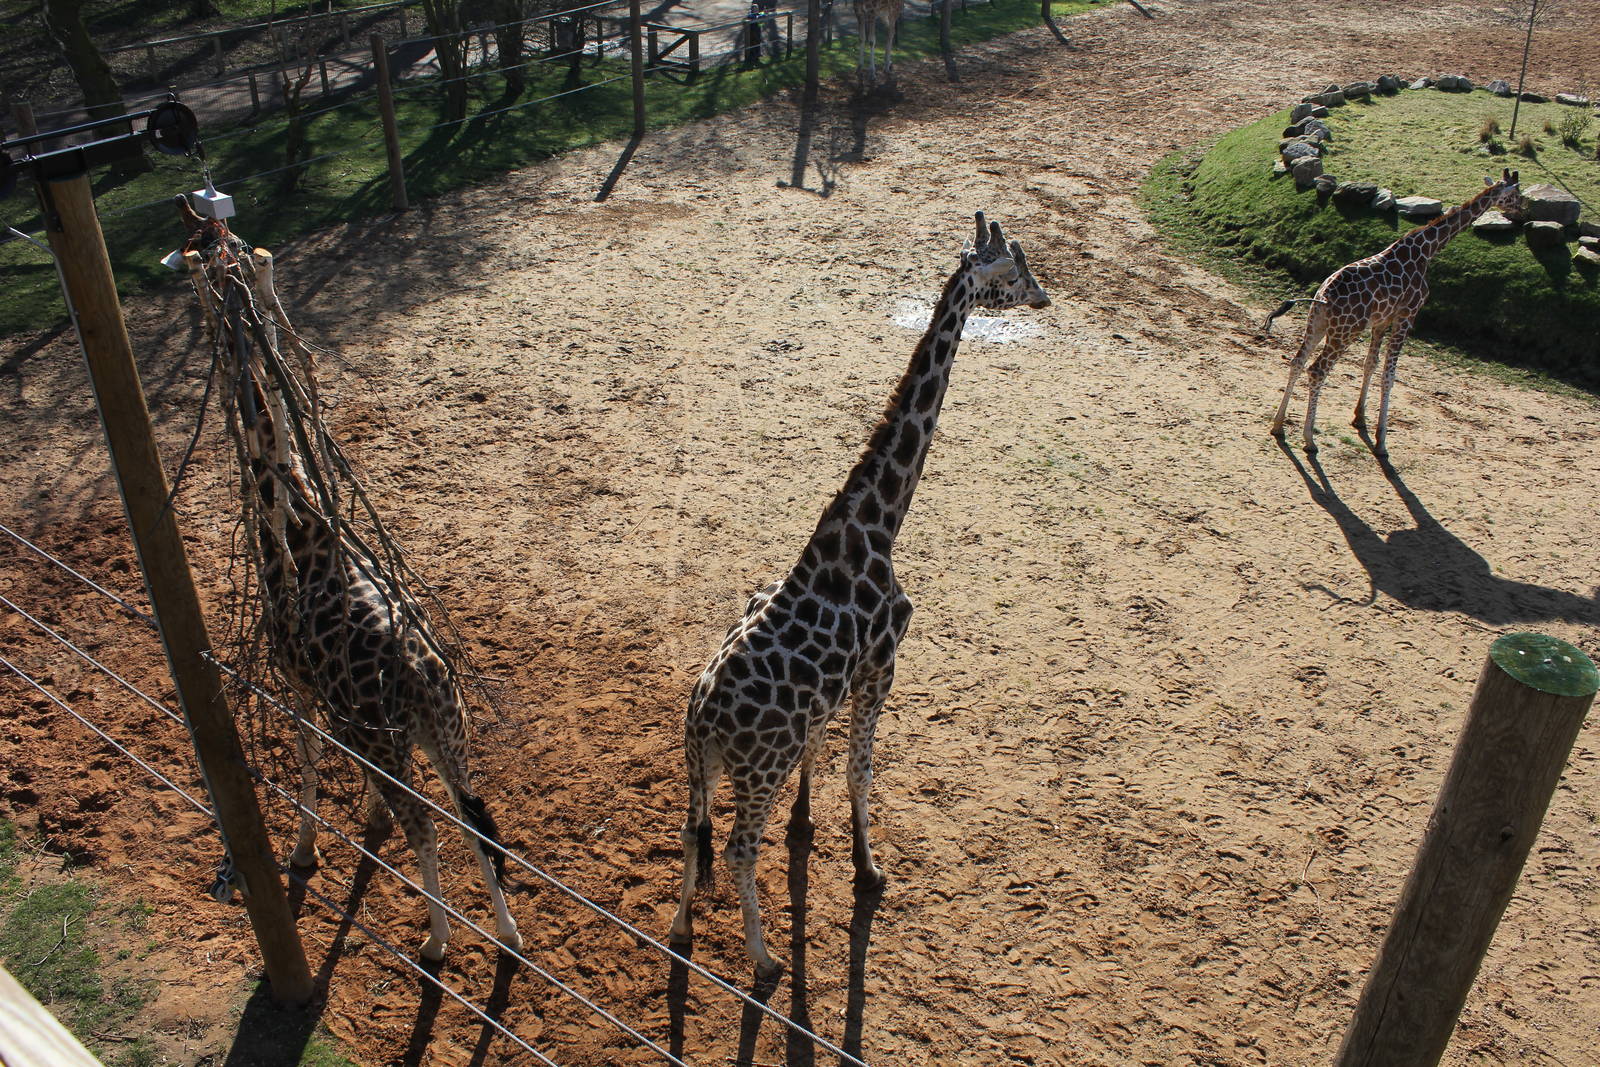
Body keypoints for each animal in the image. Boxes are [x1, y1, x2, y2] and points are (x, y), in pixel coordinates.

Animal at [174, 198, 521, 963]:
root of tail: (422, 673)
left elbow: (306, 764)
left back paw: (437, 941)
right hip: (445, 731)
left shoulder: (295, 681)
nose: (214, 301)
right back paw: (508, 934)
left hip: (394, 736)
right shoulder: (352, 721)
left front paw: (304, 851)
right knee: (473, 814)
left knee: (430, 823)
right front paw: (363, 817)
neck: (300, 526)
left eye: (197, 267)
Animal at [668, 213, 1050, 983]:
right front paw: (870, 871)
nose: (1046, 297)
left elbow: (826, 752)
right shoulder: (883, 665)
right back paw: (765, 961)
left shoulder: (838, 687)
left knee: (692, 837)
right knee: (737, 847)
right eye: (1016, 272)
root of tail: (705, 718)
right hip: (758, 768)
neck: (879, 521)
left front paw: (806, 825)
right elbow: (861, 772)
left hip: (701, 766)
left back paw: (683, 930)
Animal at [1267, 169, 1522, 458]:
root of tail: (1322, 297)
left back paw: (1278, 426)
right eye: (1515, 194)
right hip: (1344, 332)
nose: (1521, 212)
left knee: (1297, 361)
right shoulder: (1407, 315)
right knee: (1317, 371)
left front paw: (1359, 418)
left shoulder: (1382, 321)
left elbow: (1371, 364)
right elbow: (1389, 375)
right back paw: (1309, 439)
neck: (1427, 250)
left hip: (1317, 323)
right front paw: (1381, 443)